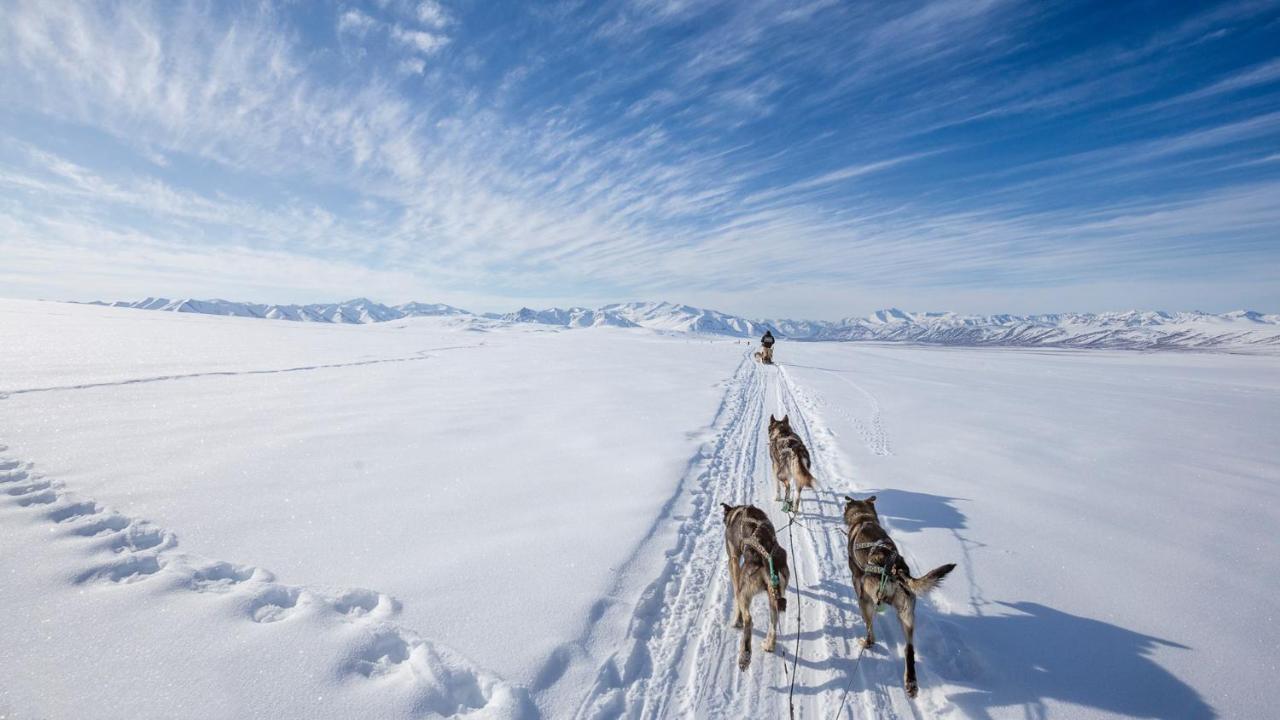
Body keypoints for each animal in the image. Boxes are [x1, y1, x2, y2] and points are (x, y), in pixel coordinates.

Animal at [721, 502, 788, 671]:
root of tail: (766, 558)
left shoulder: (733, 559)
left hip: (744, 593)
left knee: (748, 619)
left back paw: (744, 653)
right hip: (773, 599)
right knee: (773, 623)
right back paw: (769, 645)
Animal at [844, 491, 957, 696]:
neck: (864, 518)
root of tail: (896, 570)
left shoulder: (856, 580)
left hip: (866, 601)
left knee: (871, 632)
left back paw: (866, 642)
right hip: (907, 615)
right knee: (909, 650)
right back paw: (911, 683)